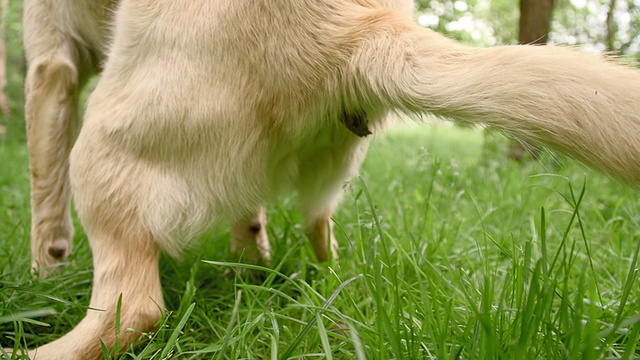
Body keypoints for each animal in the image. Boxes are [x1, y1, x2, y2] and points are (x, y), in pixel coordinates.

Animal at [17, 0, 640, 358]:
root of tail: (352, 27)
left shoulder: (50, 61)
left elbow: (42, 187)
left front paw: (43, 272)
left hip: (101, 150)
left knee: (135, 308)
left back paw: (33, 352)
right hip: (327, 177)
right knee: (320, 235)